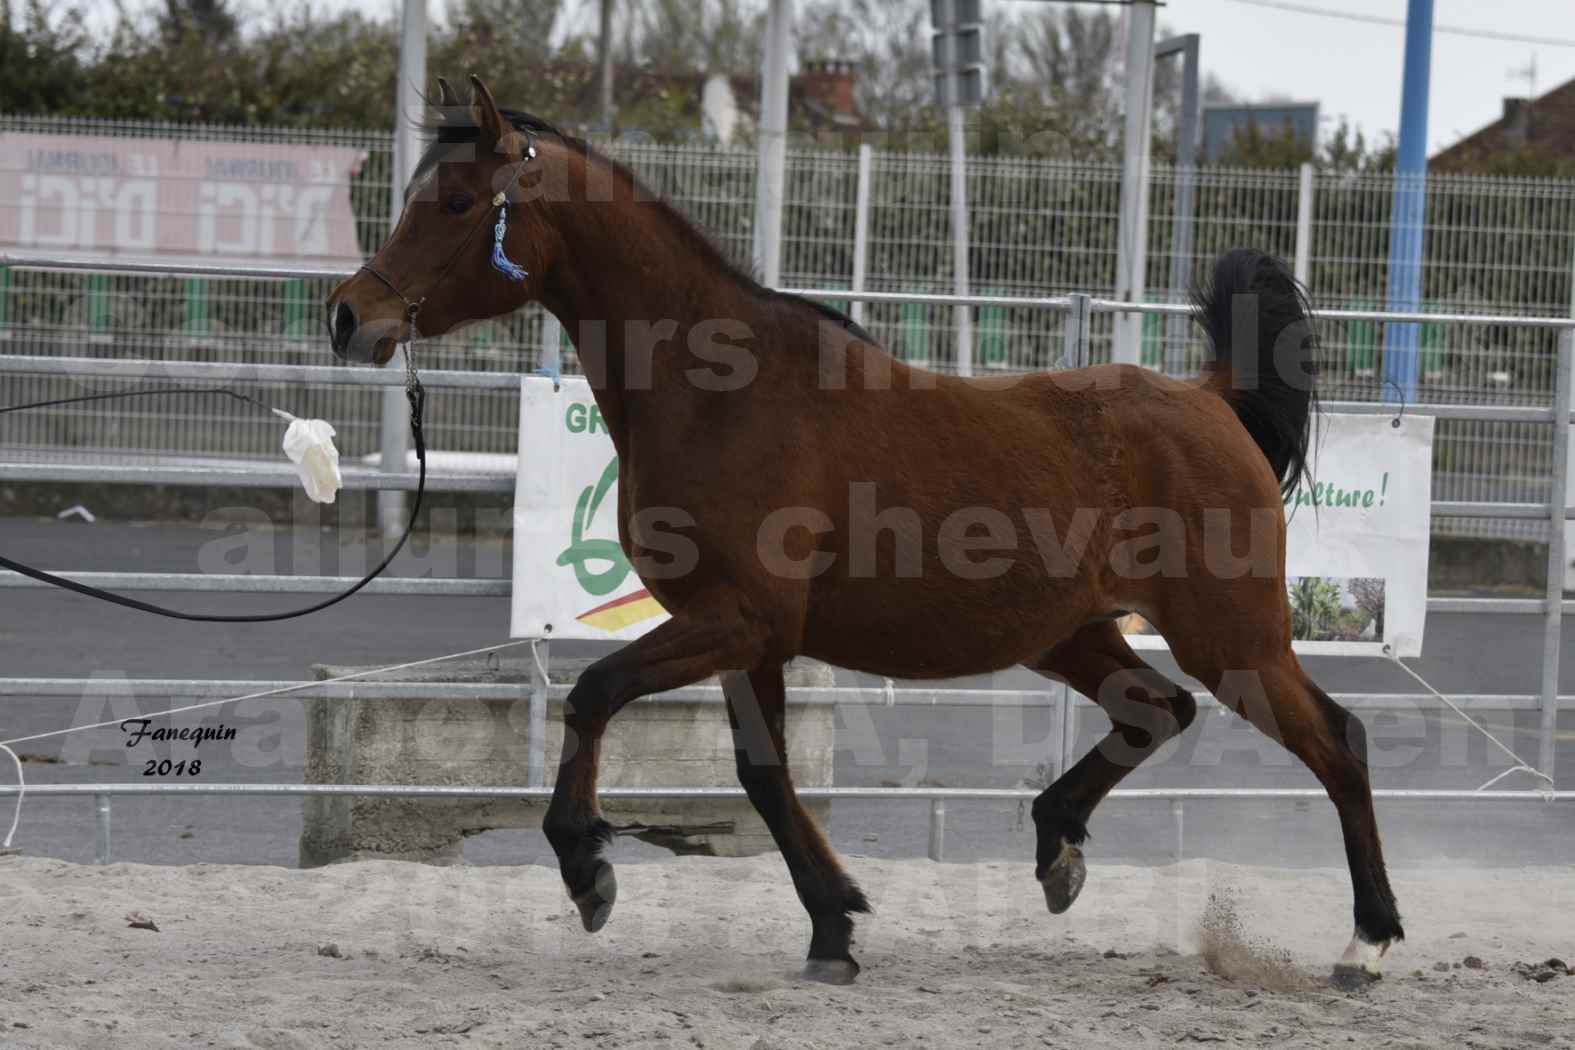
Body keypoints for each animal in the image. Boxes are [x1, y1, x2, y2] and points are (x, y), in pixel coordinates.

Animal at [329, 77, 1404, 988]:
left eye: (456, 204)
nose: (349, 315)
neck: (718, 390)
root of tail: (1209, 397)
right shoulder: (749, 640)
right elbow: (761, 776)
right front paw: (832, 927)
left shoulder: (738, 620)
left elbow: (594, 693)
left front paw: (588, 872)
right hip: (1072, 633)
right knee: (1157, 709)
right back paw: (1056, 848)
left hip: (1232, 637)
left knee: (1336, 742)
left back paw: (1366, 942)